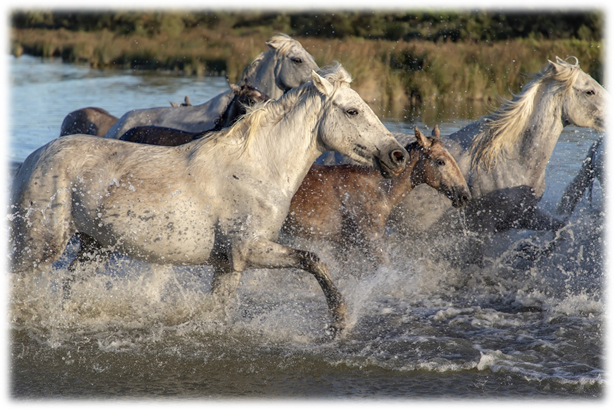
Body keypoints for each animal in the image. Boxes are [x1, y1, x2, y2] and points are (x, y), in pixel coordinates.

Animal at [8, 65, 410, 338]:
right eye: (352, 111)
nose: (397, 155)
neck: (256, 168)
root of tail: (35, 158)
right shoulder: (249, 250)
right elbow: (313, 260)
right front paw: (339, 321)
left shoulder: (228, 264)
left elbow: (219, 309)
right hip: (43, 244)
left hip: (95, 247)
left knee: (71, 286)